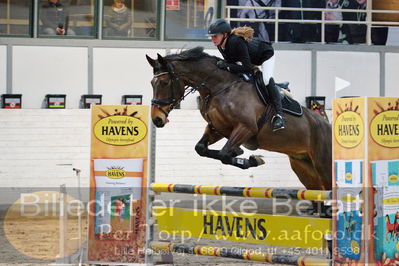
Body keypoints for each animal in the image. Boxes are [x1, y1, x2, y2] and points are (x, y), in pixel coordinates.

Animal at [145, 46, 332, 190]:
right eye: (152, 84)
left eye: (164, 83)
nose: (156, 119)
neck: (220, 87)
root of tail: (327, 126)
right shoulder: (217, 128)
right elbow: (202, 149)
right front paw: (244, 154)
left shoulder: (246, 128)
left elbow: (224, 154)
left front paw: (250, 158)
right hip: (304, 168)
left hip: (324, 166)